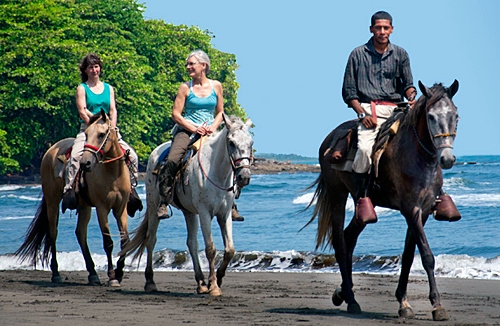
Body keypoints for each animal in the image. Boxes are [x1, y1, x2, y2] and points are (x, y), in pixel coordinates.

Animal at [16, 109, 131, 286]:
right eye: (87, 133)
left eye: (101, 134)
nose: (85, 163)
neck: (113, 174)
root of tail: (50, 150)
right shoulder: (102, 208)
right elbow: (108, 242)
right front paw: (112, 276)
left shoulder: (121, 208)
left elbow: (125, 241)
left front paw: (119, 273)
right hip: (52, 201)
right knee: (53, 233)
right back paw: (56, 273)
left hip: (84, 206)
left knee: (80, 233)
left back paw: (93, 274)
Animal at [120, 114, 252, 296]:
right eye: (231, 142)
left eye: (251, 143)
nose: (244, 176)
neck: (216, 172)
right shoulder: (204, 213)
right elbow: (210, 249)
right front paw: (214, 286)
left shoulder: (224, 214)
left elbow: (229, 249)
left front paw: (217, 279)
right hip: (154, 206)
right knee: (151, 239)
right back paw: (150, 282)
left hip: (189, 212)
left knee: (192, 243)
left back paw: (201, 282)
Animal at [308, 81, 460, 320]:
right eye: (431, 117)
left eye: (455, 115)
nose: (447, 159)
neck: (418, 158)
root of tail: (329, 140)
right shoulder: (410, 210)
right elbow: (427, 256)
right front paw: (437, 306)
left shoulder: (423, 211)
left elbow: (408, 256)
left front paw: (403, 302)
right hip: (337, 195)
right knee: (340, 243)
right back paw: (351, 300)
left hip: (362, 204)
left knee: (349, 237)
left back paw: (344, 292)